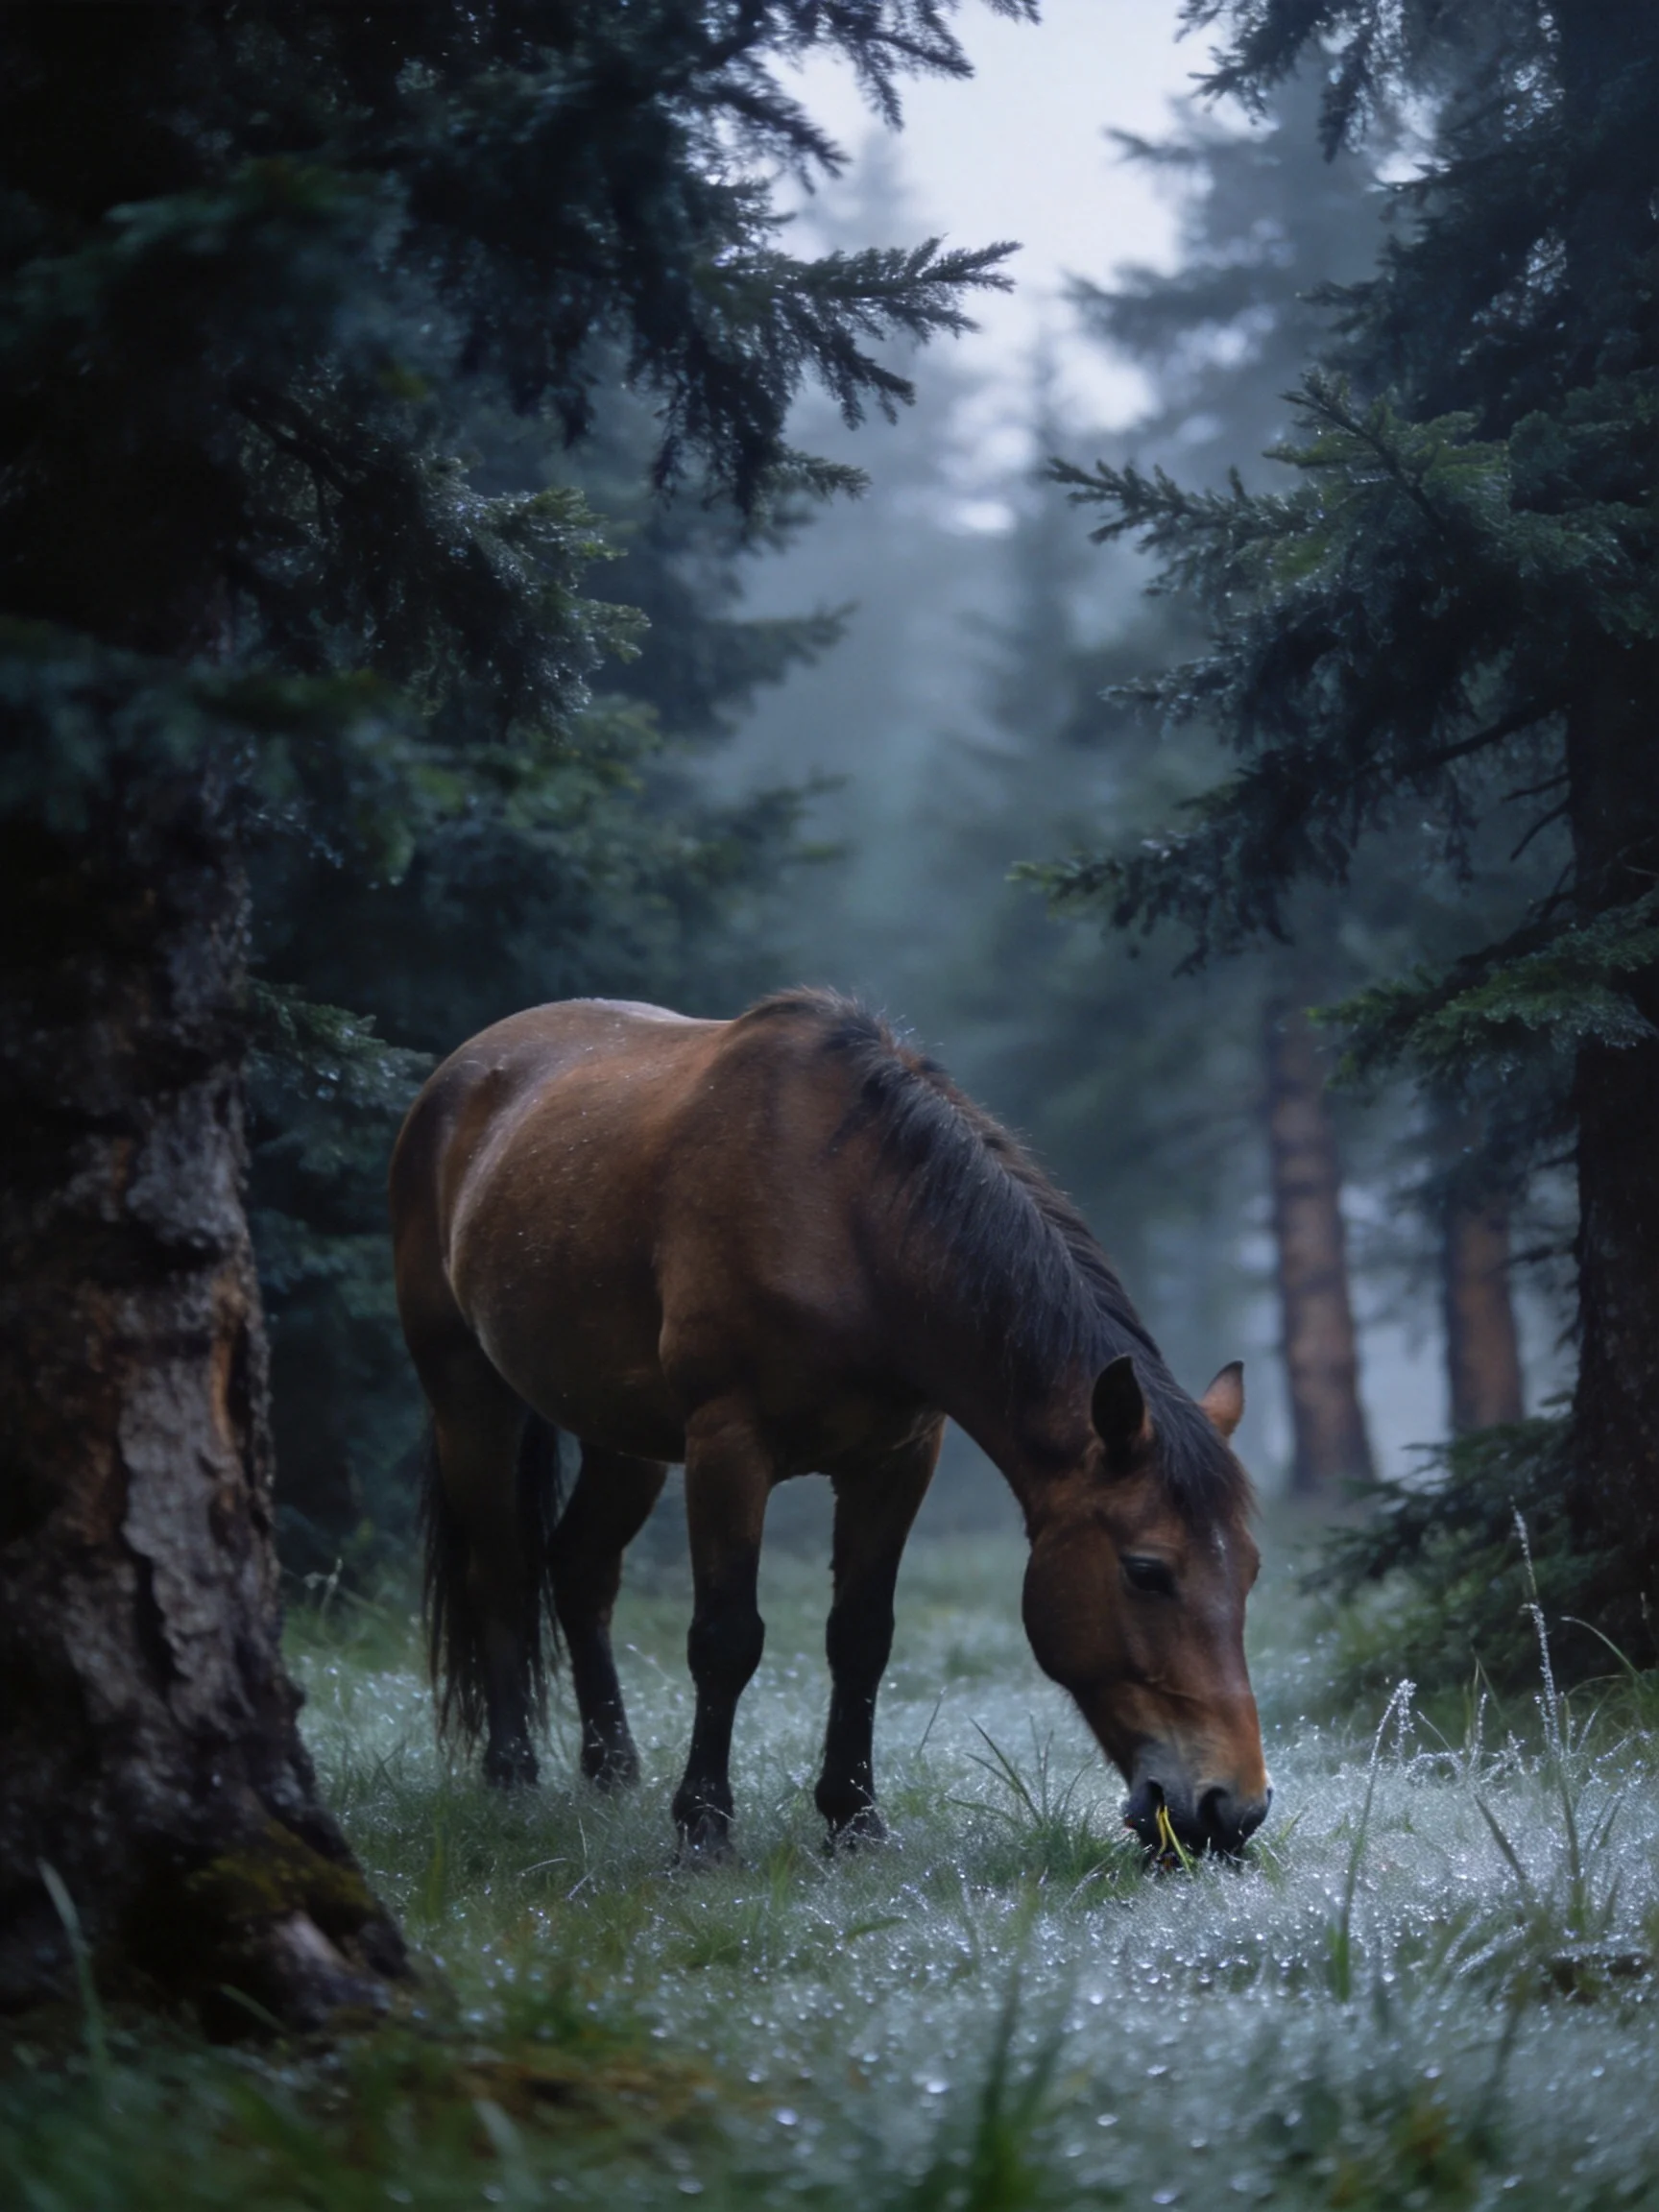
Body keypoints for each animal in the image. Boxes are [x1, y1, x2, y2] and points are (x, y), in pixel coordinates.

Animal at [389, 988, 1271, 1859]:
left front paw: (853, 1818)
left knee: (580, 1570)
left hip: (620, 1434)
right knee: (501, 1573)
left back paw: (610, 1768)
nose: (1231, 1809)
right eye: (1147, 1571)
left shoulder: (897, 1460)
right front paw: (702, 1826)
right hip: (468, 1395)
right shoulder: (728, 1447)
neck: (852, 1222)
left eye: (1251, 1572)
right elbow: (725, 1638)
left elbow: (861, 1637)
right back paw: (512, 1773)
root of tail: (462, 1075)